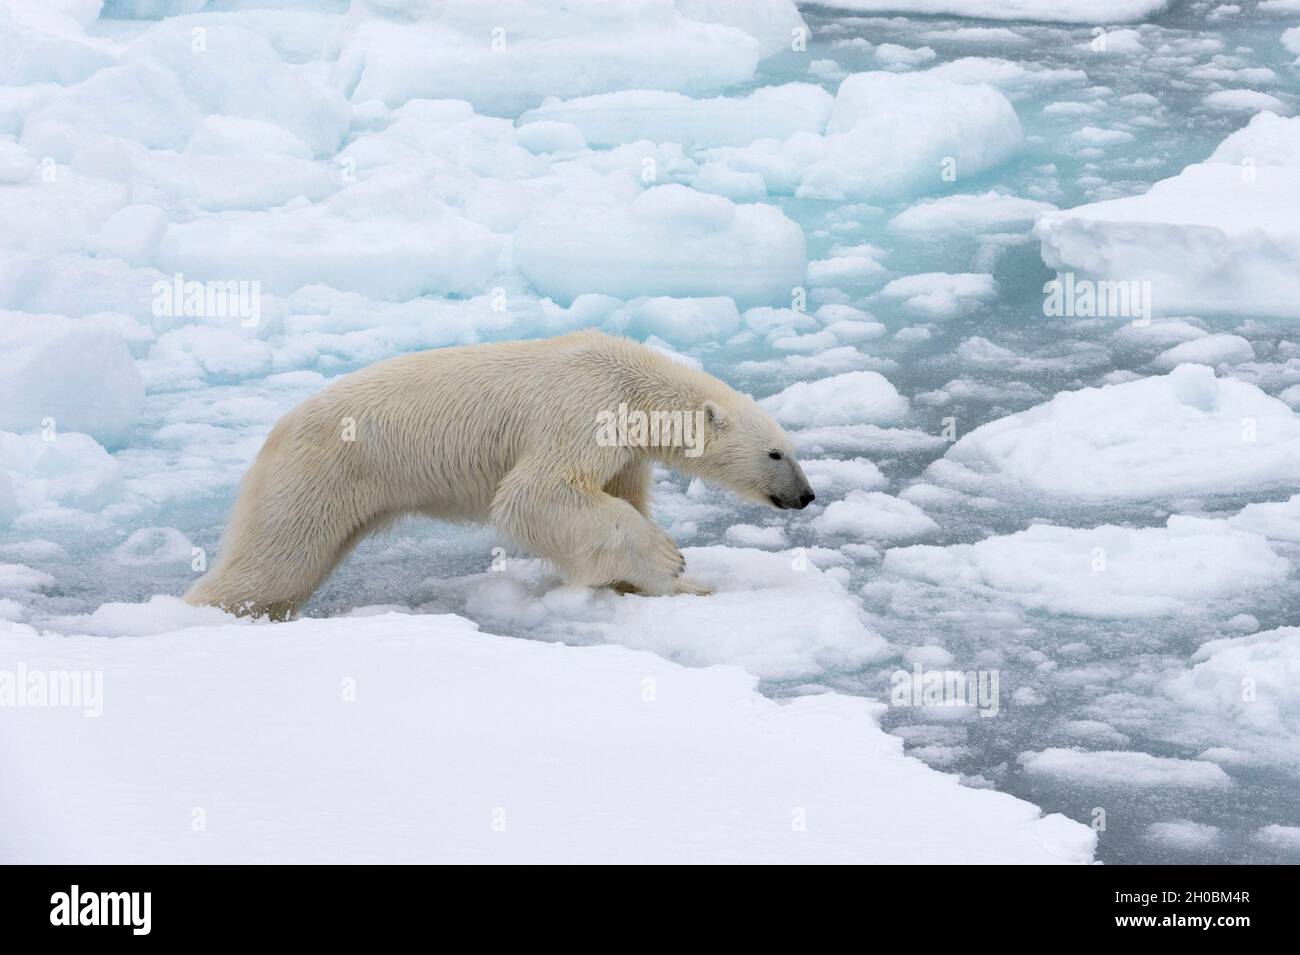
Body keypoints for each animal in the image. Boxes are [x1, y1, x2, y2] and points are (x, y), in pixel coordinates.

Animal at [183, 332, 811, 623]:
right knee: (272, 561)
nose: (805, 496)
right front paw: (671, 563)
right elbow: (537, 493)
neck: (632, 383)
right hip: (318, 473)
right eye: (776, 453)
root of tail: (276, 430)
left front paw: (678, 583)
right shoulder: (582, 407)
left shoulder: (624, 450)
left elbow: (616, 496)